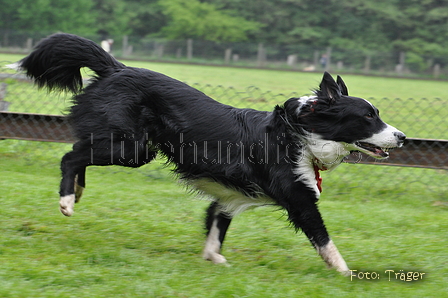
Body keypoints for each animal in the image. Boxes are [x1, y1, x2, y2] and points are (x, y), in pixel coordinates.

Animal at [14, 33, 406, 274]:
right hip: (131, 148)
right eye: (368, 117)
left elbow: (217, 226)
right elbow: (324, 239)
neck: (299, 134)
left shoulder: (228, 195)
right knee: (70, 156)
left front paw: (213, 258)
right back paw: (67, 200)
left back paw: (77, 192)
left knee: (79, 151)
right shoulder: (299, 200)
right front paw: (345, 272)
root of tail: (116, 67)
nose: (402, 138)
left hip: (128, 146)